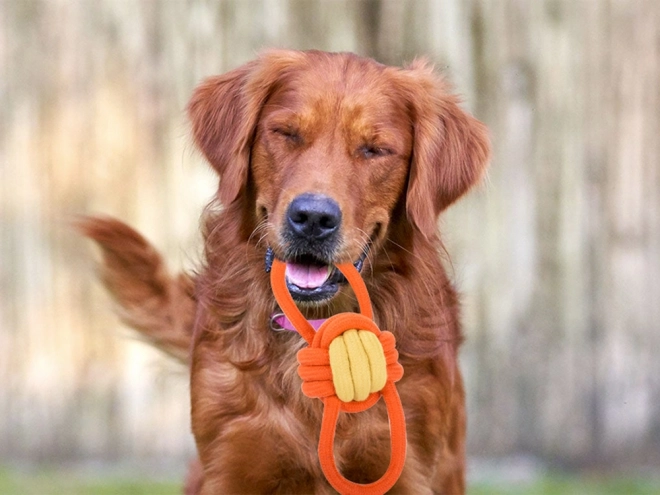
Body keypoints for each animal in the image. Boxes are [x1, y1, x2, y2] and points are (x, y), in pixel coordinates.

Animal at [78, 50, 490, 495]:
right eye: (286, 134)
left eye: (375, 149)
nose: (313, 218)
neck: (316, 326)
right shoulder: (233, 461)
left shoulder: (405, 467)